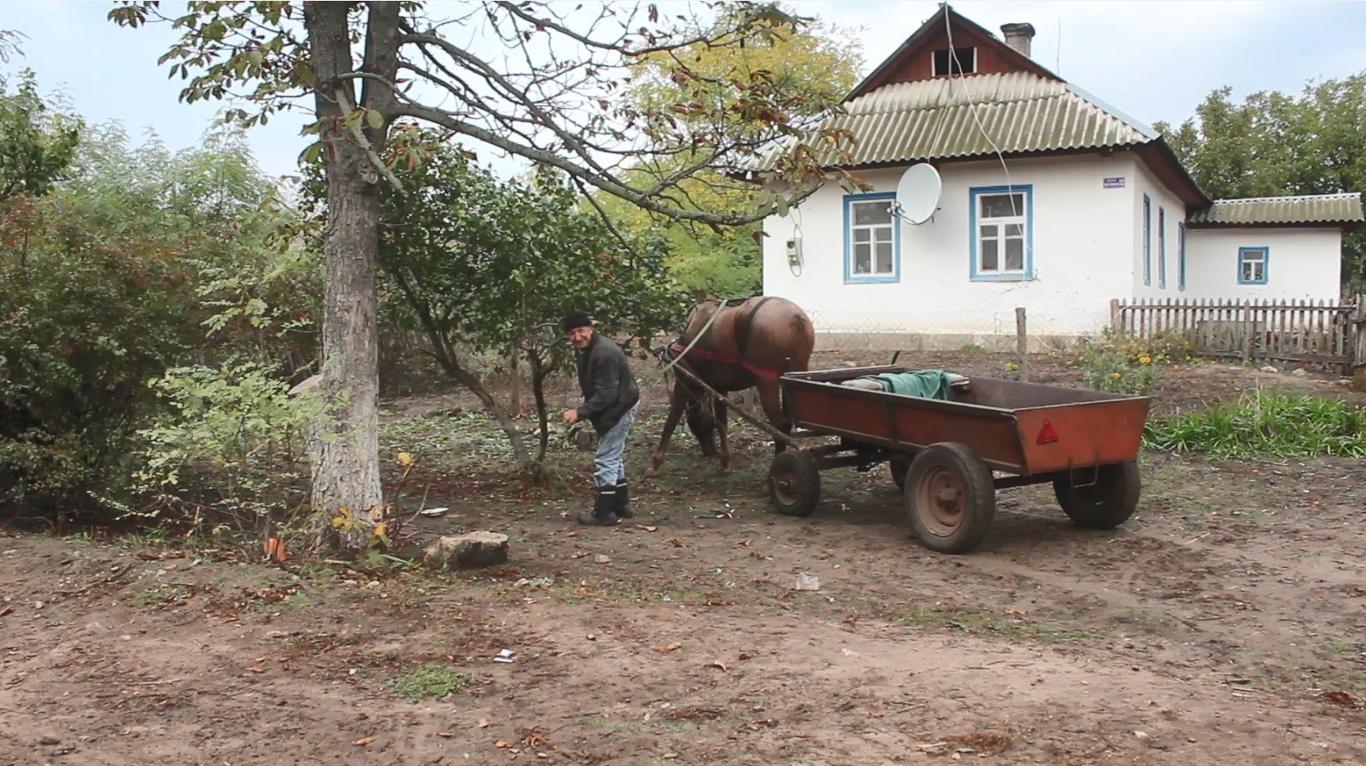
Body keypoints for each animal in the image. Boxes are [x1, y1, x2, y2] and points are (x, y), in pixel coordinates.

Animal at [647, 293, 808, 469]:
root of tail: (796, 318)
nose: (709, 451)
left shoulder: (686, 382)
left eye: (694, 423)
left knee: (781, 426)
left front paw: (655, 462)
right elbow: (721, 422)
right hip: (795, 375)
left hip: (767, 382)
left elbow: (672, 418)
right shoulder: (720, 388)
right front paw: (725, 460)